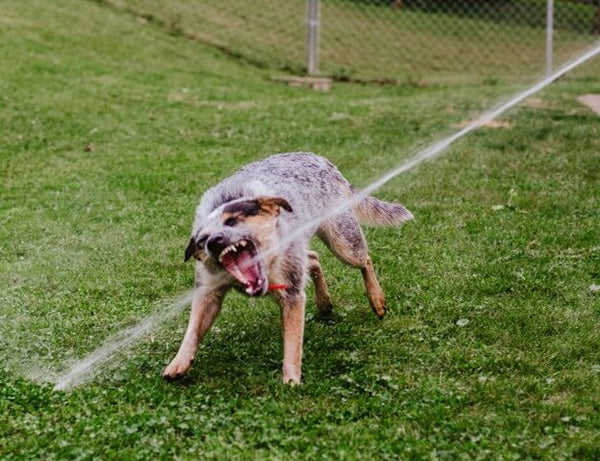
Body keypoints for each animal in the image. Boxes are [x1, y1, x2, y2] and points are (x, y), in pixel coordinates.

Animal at [163, 153, 412, 382]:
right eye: (202, 239)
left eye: (232, 221)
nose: (213, 241)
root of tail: (322, 159)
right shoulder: (209, 291)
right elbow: (193, 329)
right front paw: (178, 363)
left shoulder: (291, 293)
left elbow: (292, 343)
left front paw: (291, 381)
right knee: (314, 258)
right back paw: (324, 303)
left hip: (344, 243)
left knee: (365, 260)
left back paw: (376, 299)